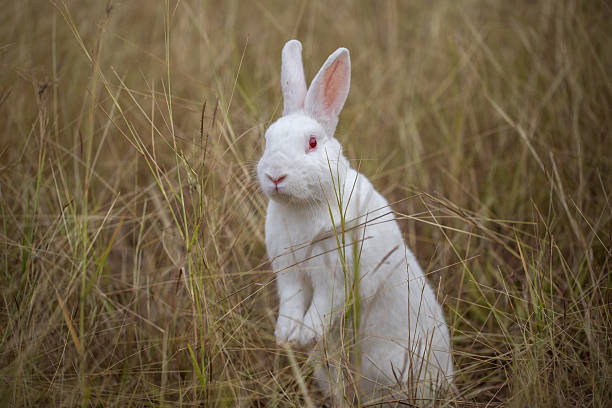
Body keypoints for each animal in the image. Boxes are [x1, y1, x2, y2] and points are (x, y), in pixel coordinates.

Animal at [256, 39, 452, 404]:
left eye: (312, 142)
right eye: (267, 139)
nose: (275, 175)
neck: (303, 206)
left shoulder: (336, 275)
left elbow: (322, 306)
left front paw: (305, 335)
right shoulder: (288, 272)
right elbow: (291, 301)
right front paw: (286, 335)